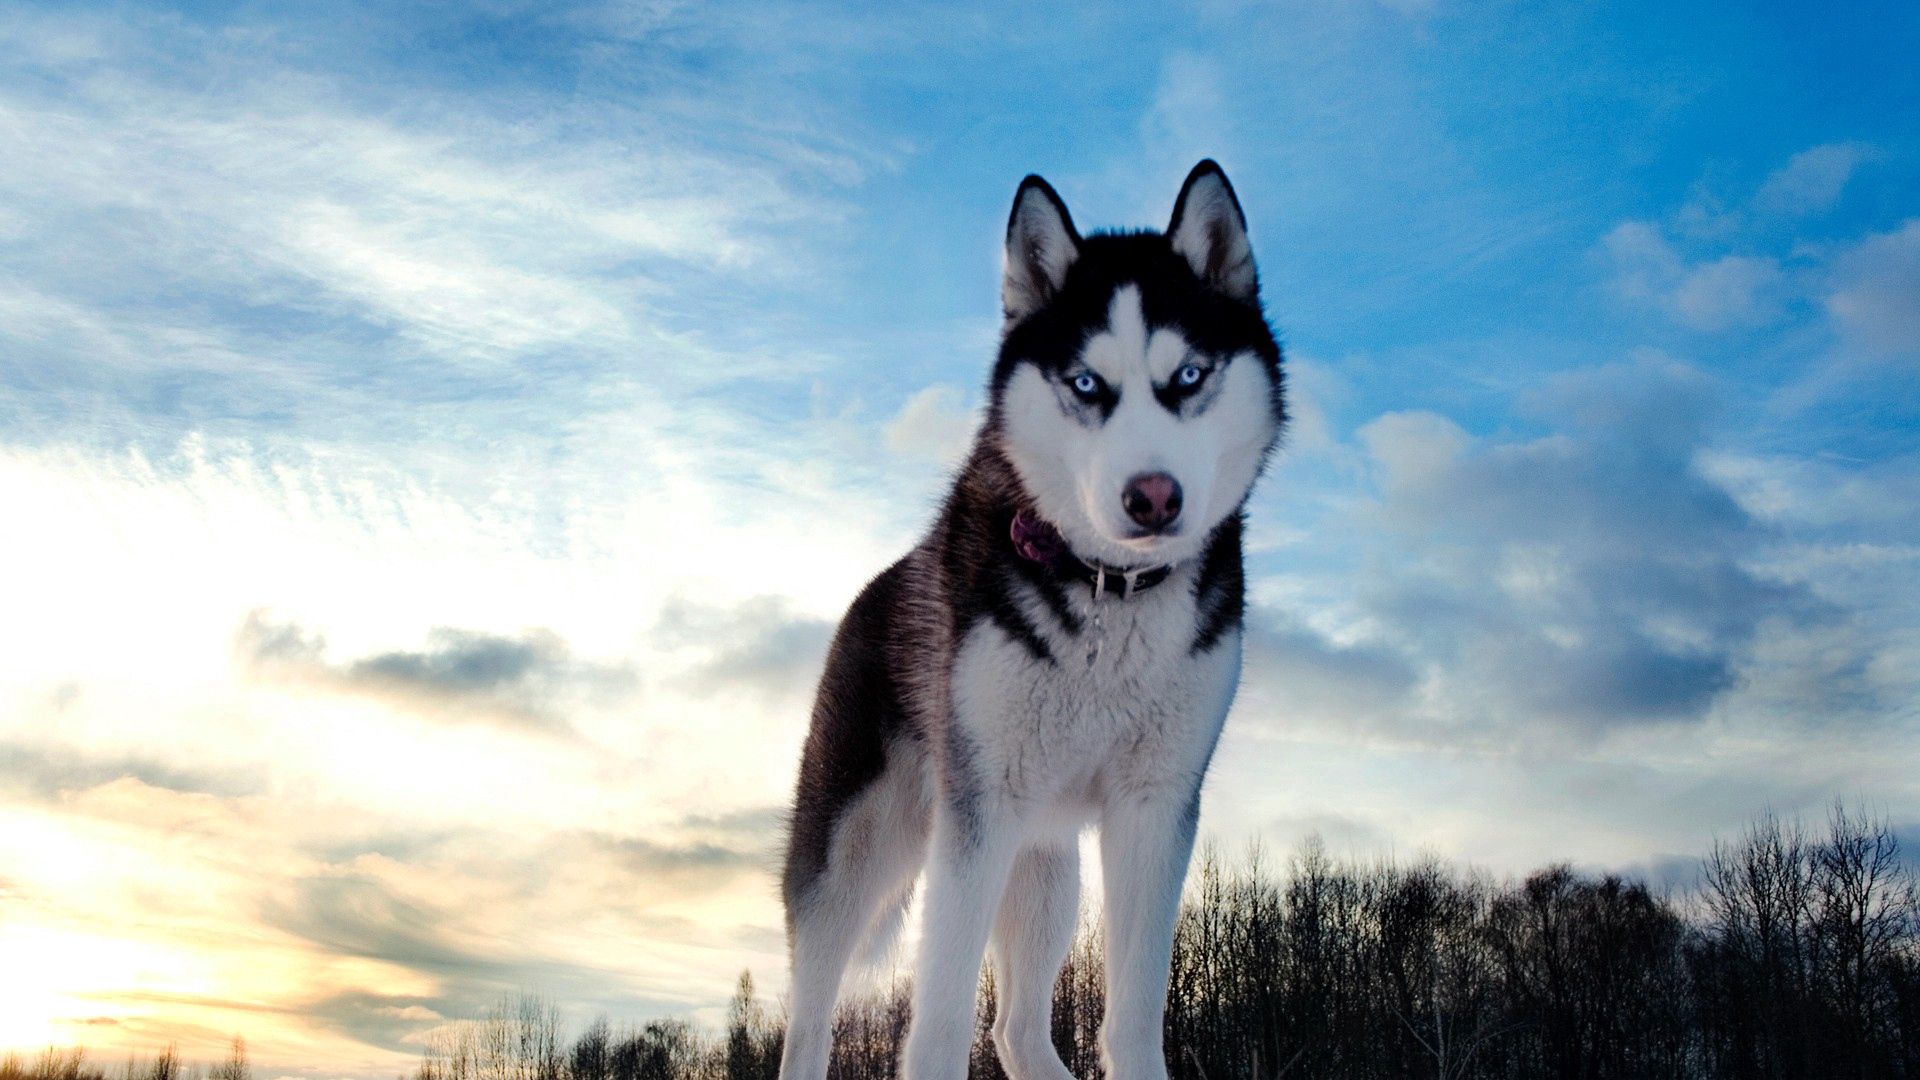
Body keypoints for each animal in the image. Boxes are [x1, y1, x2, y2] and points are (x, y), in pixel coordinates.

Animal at [771, 159, 1282, 1076]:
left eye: (1189, 376)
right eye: (1086, 384)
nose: (1153, 496)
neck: (1110, 591)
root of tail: (873, 588)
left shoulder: (1155, 809)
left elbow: (1133, 1015)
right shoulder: (979, 814)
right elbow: (938, 1021)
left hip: (1045, 870)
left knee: (1014, 1024)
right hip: (856, 852)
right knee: (811, 1017)